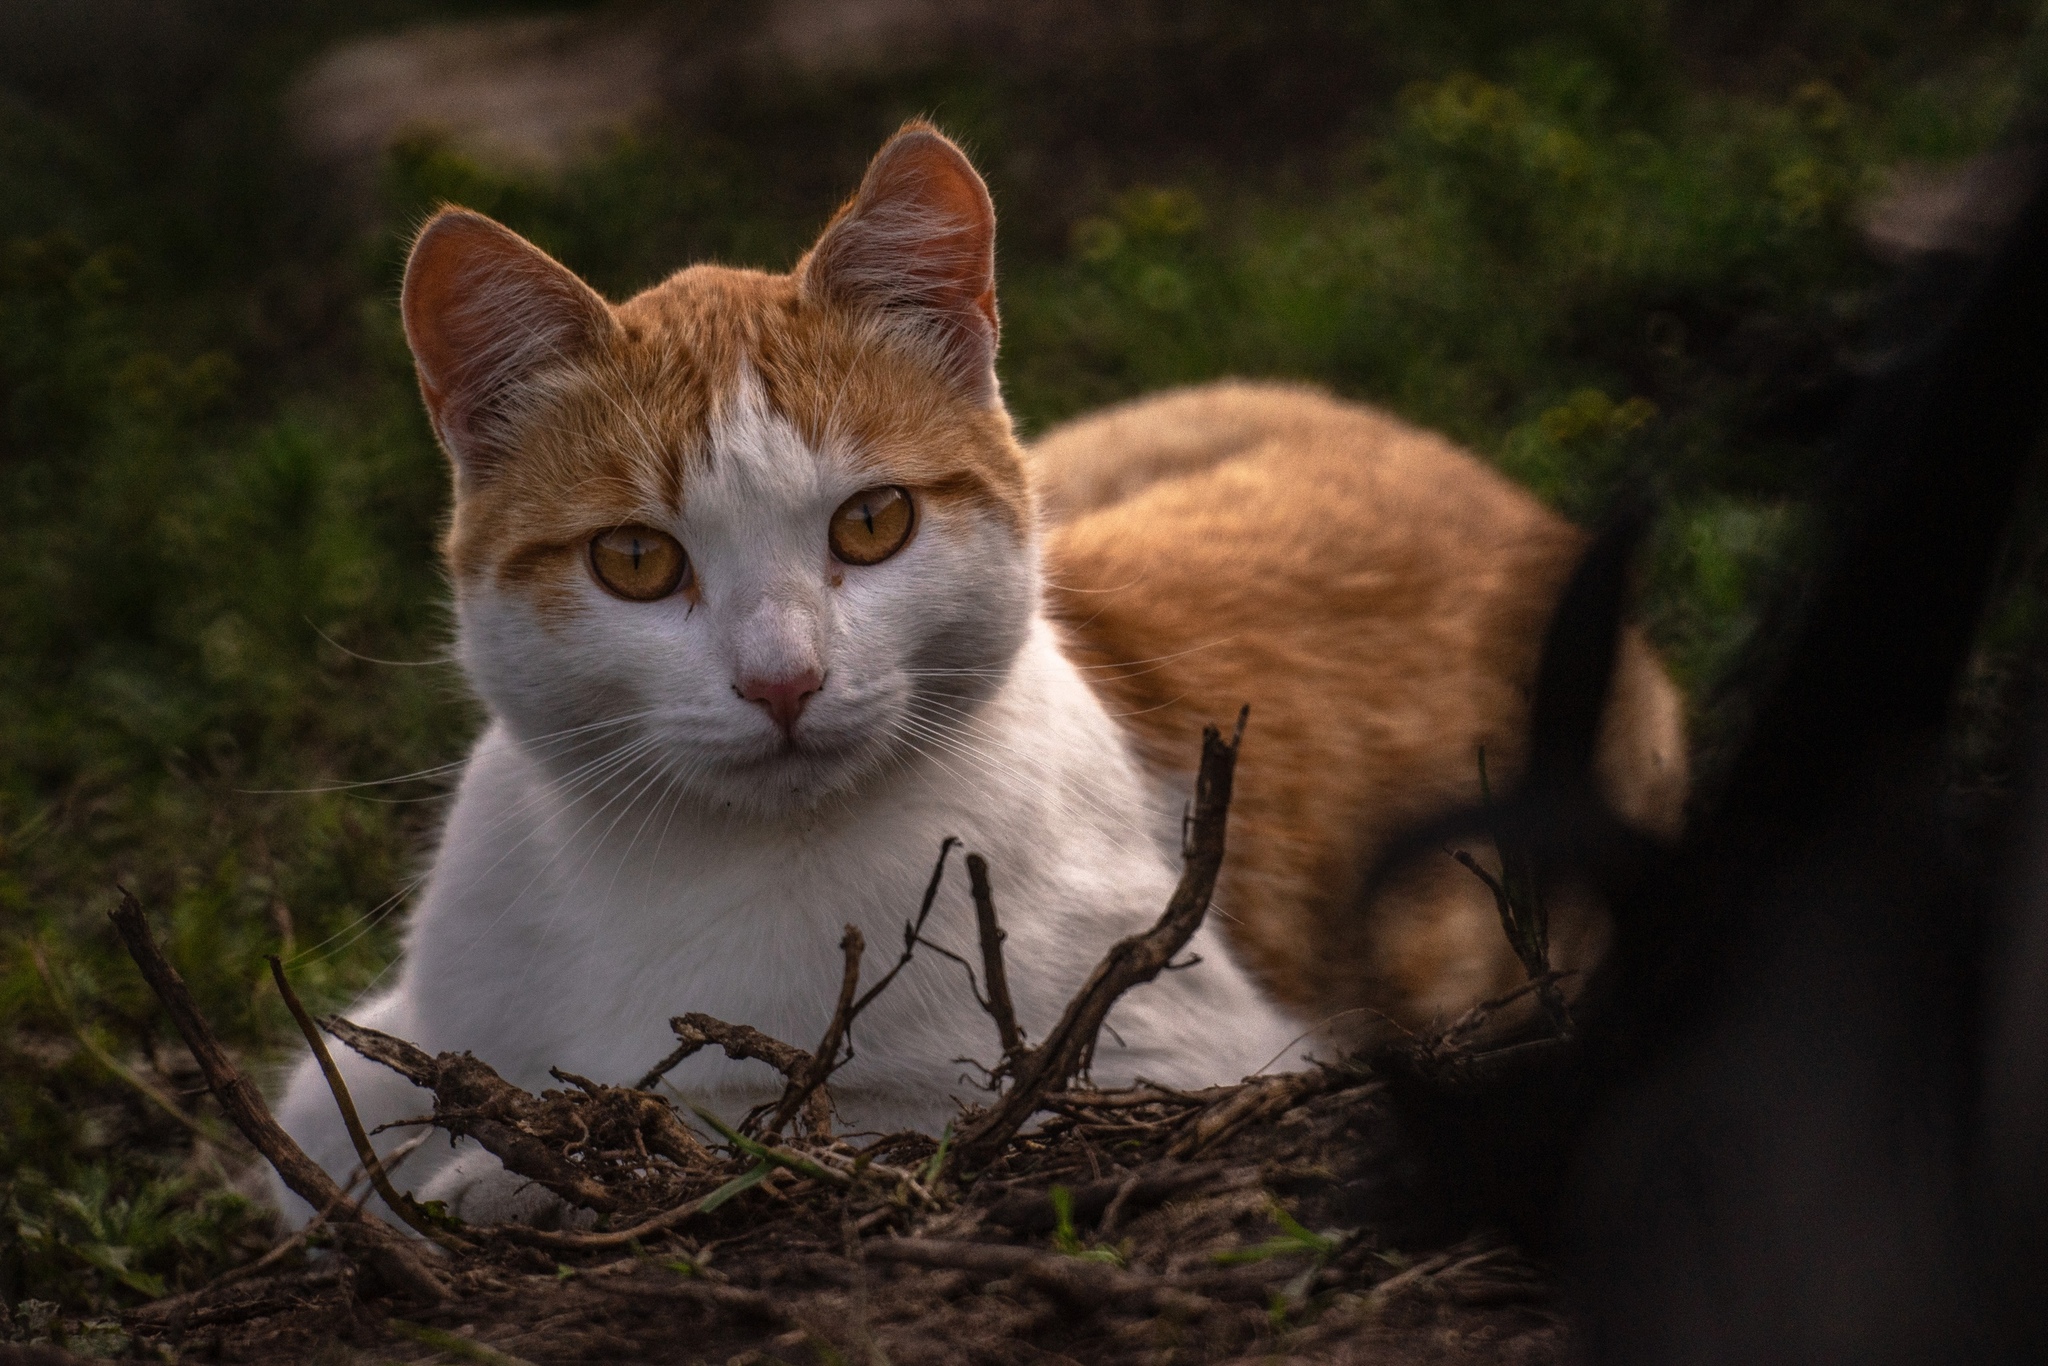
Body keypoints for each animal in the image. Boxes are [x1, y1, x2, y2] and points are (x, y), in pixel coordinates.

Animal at [272, 122, 1679, 1220]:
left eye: (871, 523)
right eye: (633, 559)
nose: (781, 680)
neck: (679, 862)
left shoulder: (1170, 1050)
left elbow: (777, 1106)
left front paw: (511, 1162)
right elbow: (316, 1129)